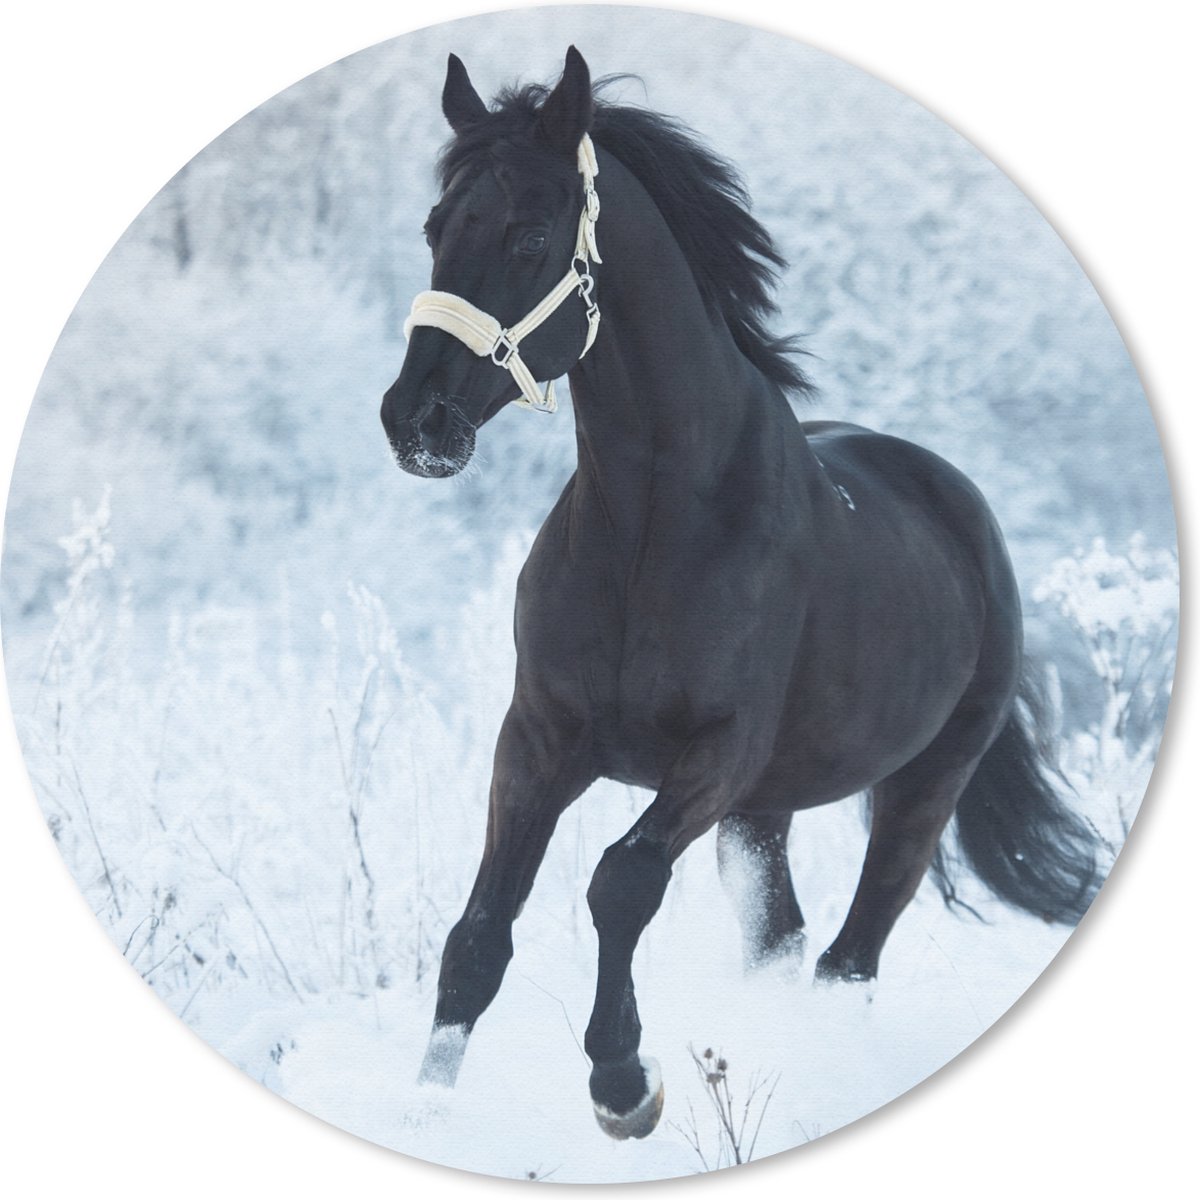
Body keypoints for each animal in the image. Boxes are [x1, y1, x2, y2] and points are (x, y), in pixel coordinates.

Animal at [379, 47, 1100, 1140]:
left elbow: (621, 882)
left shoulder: (717, 753)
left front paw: (624, 1084)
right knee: (789, 943)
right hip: (765, 816)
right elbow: (477, 936)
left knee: (849, 960)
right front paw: (422, 1117)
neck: (653, 528)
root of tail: (965, 512)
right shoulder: (539, 740)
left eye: (529, 236)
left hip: (920, 788)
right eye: (434, 227)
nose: (414, 421)